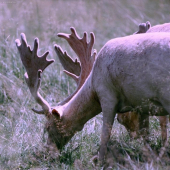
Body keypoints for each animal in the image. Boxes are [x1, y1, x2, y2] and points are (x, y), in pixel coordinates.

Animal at [15, 28, 170, 164]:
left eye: (47, 127)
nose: (47, 152)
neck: (93, 87)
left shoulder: (107, 95)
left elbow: (105, 133)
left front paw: (99, 160)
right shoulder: (141, 104)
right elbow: (145, 133)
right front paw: (148, 155)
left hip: (165, 93)